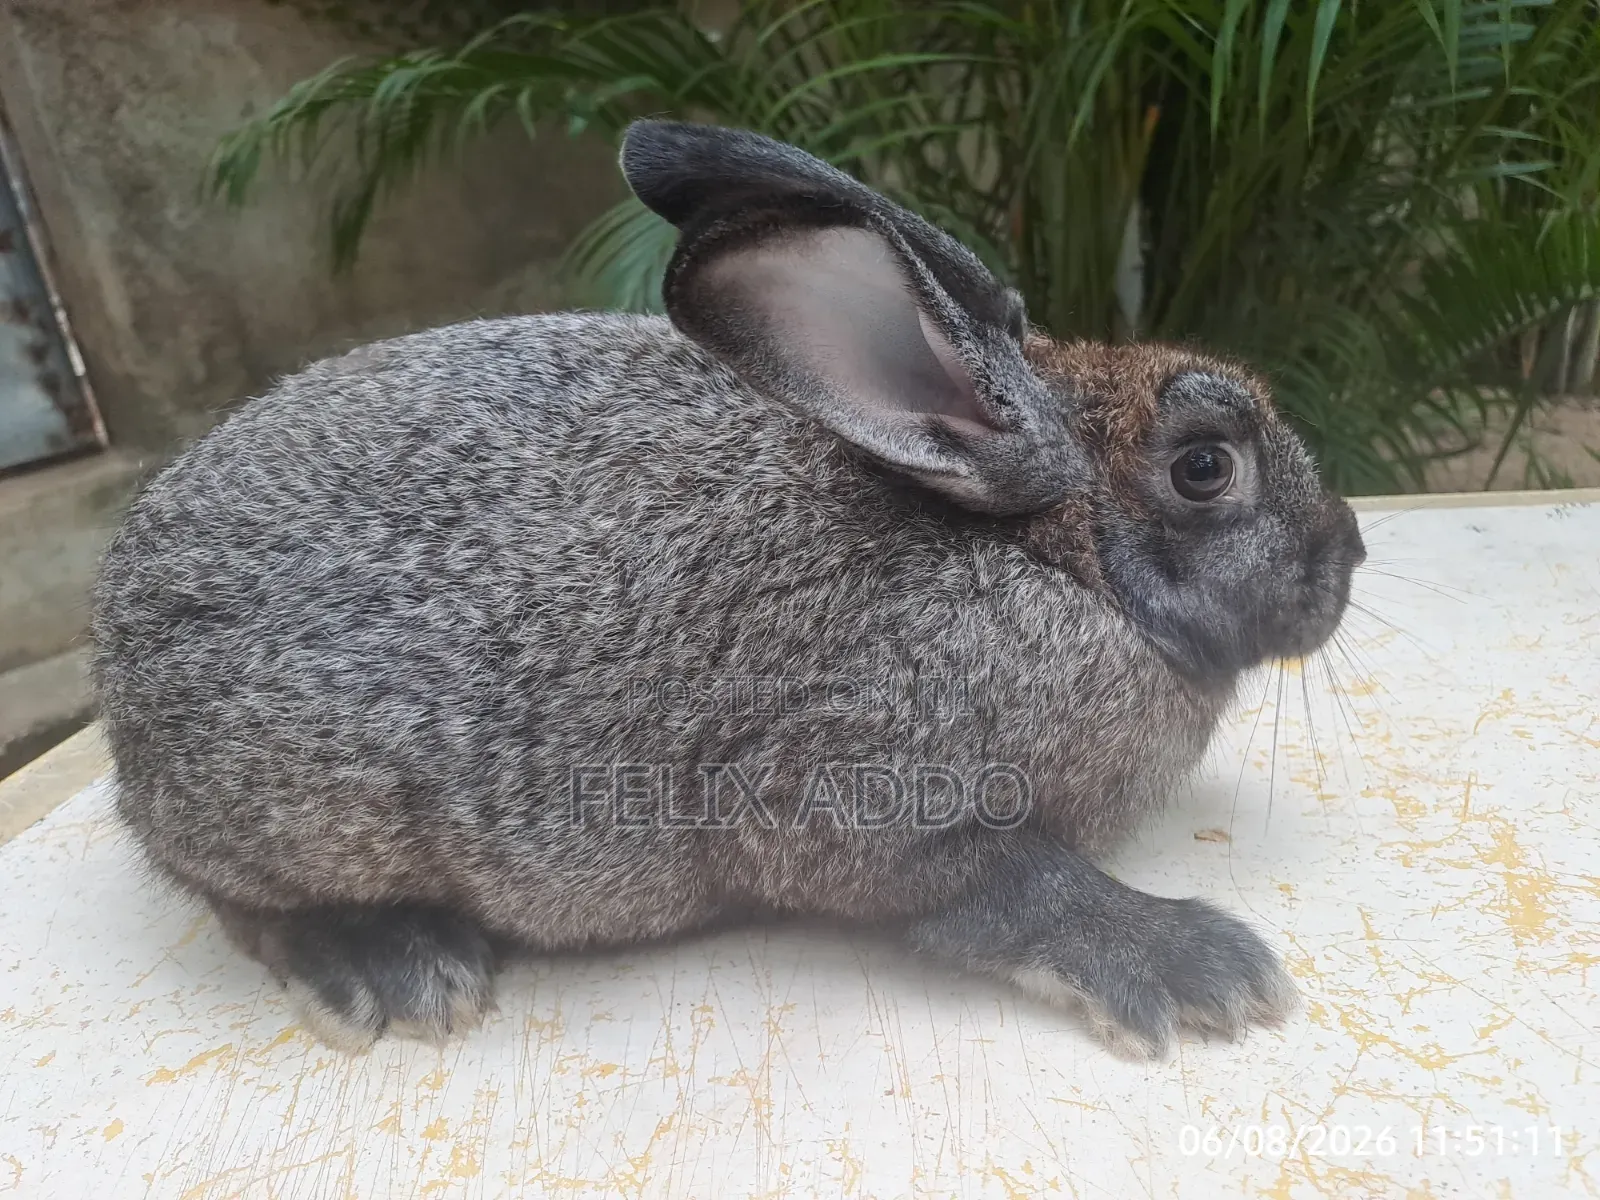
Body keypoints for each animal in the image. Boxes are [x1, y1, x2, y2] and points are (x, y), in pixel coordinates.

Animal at [92, 119, 1365, 1060]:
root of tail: (117, 631)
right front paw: (1194, 967)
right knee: (238, 898)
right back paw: (392, 972)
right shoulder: (850, 799)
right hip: (302, 803)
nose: (1348, 549)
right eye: (1204, 468)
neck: (1050, 561)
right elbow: (1021, 885)